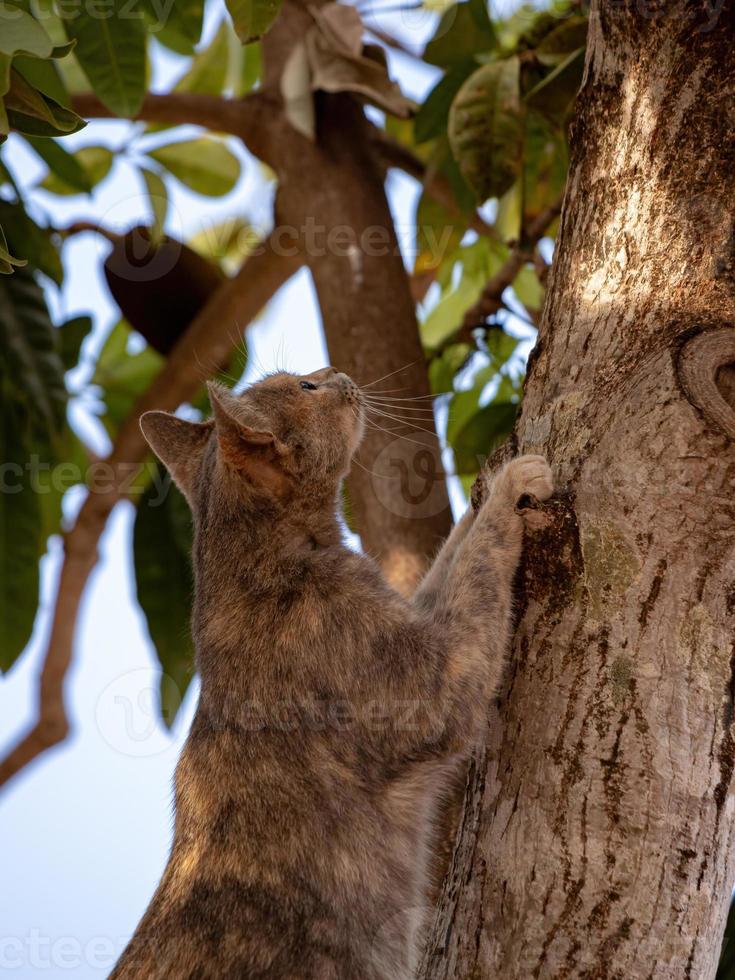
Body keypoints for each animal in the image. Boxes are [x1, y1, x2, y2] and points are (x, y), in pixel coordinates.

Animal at [112, 370, 552, 980]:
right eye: (304, 386)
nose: (337, 375)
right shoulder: (442, 677)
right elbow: (478, 560)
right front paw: (510, 485)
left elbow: (450, 560)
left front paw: (483, 489)